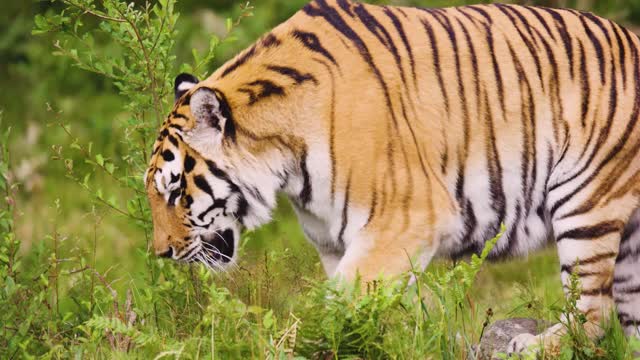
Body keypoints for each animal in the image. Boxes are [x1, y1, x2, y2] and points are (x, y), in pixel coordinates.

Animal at [144, 0, 640, 354]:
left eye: (175, 190)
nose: (161, 253)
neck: (285, 159)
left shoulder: (405, 220)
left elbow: (334, 307)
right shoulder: (337, 242)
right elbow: (363, 310)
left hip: (584, 200)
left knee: (594, 314)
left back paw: (531, 346)